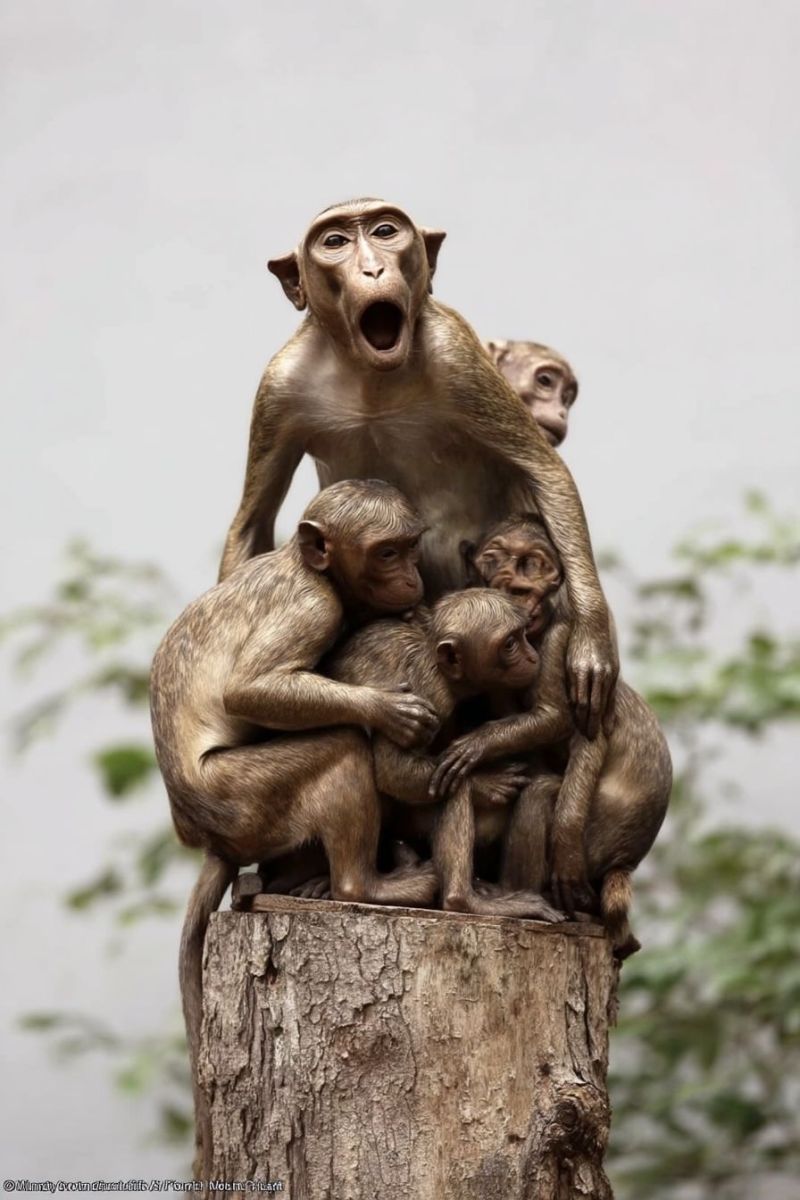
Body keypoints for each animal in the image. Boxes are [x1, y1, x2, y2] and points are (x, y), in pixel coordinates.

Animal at [149, 479, 441, 1177]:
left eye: (409, 547)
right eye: (386, 552)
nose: (412, 575)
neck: (308, 567)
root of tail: (212, 840)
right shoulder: (315, 609)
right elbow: (249, 692)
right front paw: (384, 710)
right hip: (246, 801)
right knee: (339, 747)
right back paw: (367, 886)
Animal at [218, 198, 617, 739]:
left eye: (386, 232)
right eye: (335, 242)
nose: (373, 268)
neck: (369, 375)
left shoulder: (458, 356)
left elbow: (542, 470)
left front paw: (591, 641)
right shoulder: (279, 385)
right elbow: (255, 517)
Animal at [327, 588, 564, 922]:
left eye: (522, 635)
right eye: (509, 644)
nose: (532, 656)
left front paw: (480, 744)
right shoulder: (428, 691)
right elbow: (395, 772)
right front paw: (486, 780)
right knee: (453, 785)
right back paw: (462, 900)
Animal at [432, 516, 672, 956]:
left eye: (534, 565)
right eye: (494, 560)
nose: (514, 586)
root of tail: (625, 863)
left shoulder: (567, 639)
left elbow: (572, 729)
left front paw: (476, 746)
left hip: (603, 834)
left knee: (544, 796)